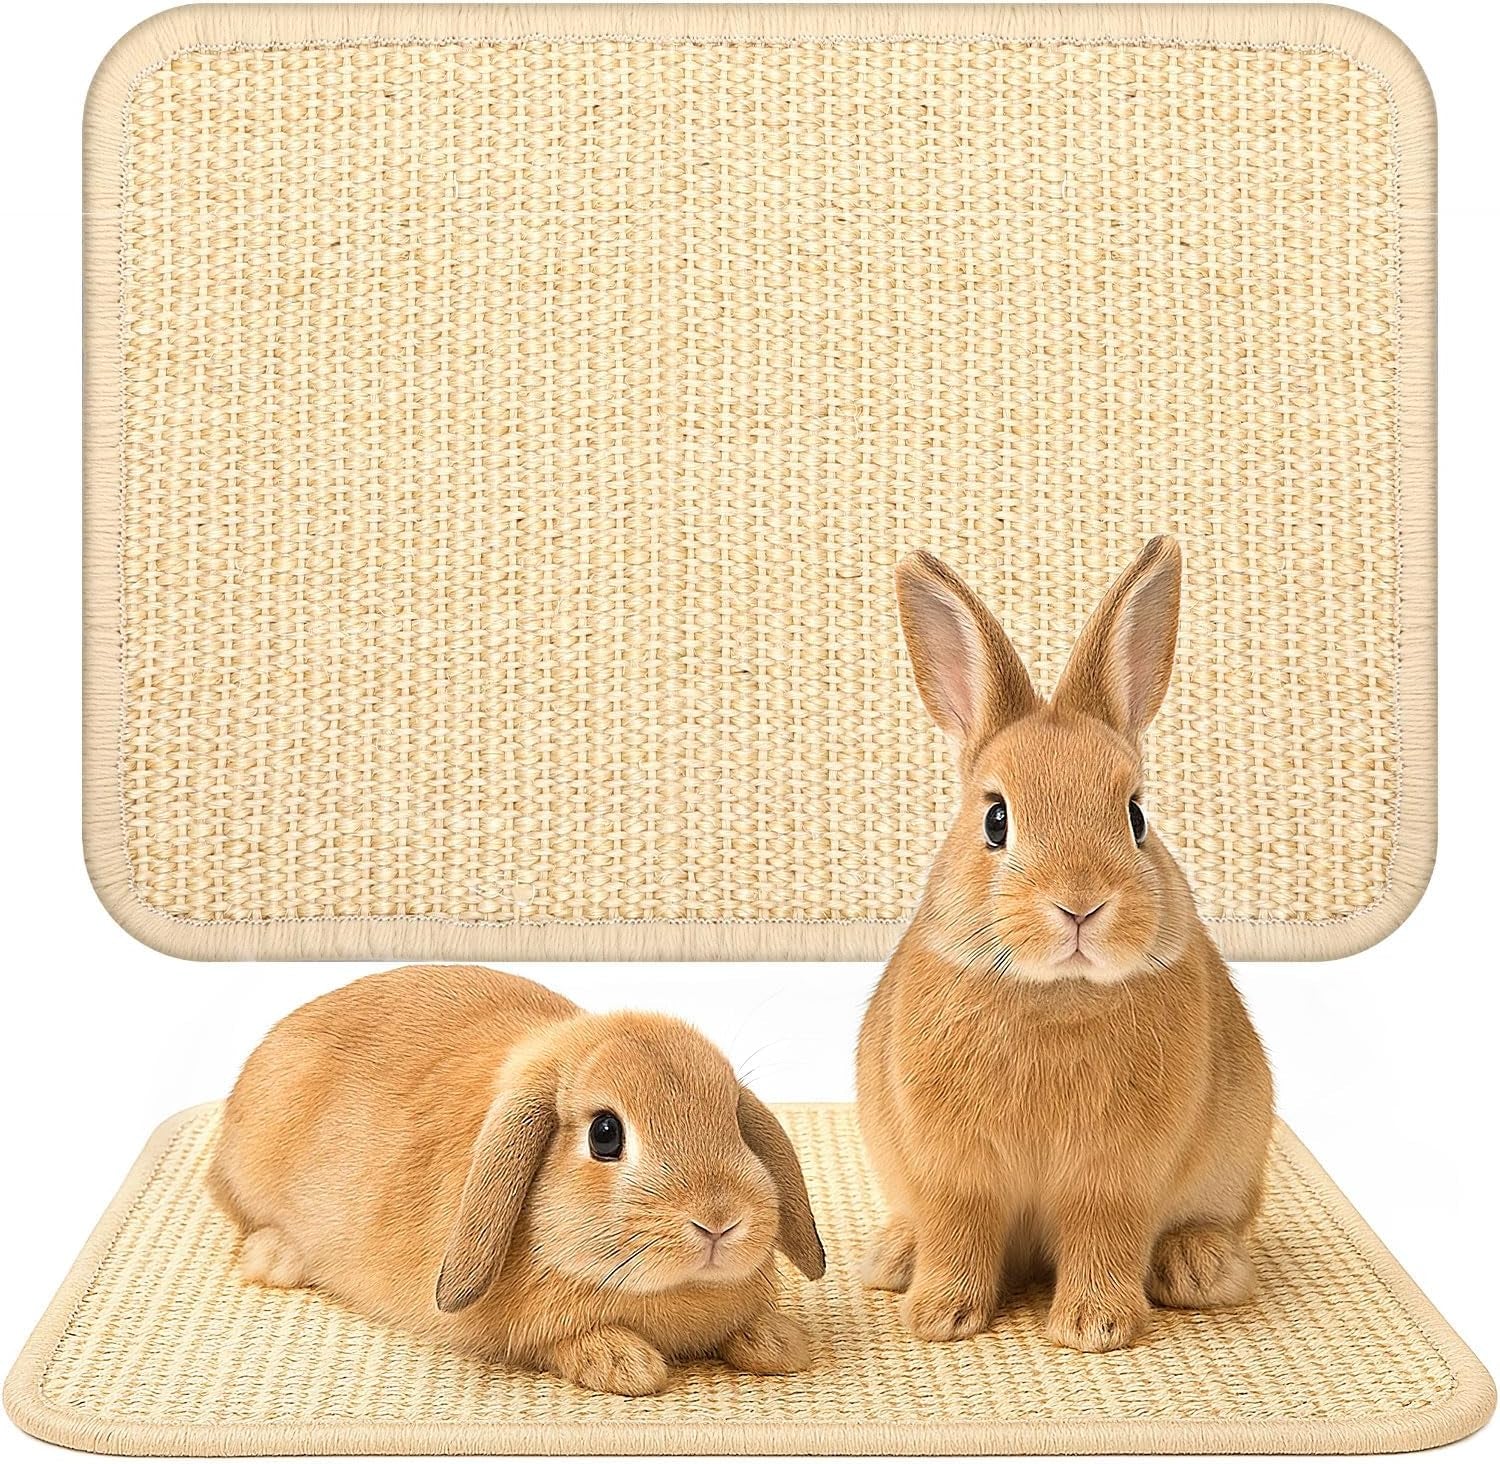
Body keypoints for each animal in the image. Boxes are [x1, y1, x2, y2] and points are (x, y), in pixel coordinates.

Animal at [209, 964, 826, 1395]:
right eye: (606, 1134)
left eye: (734, 1122)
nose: (719, 1221)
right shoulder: (535, 1335)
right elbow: (569, 1344)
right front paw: (627, 1364)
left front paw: (780, 1343)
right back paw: (275, 1257)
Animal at [857, 537, 1273, 1353]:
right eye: (995, 819)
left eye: (1136, 815)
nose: (1080, 904)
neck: (1055, 995)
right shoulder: (954, 1171)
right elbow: (959, 1230)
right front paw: (939, 1319)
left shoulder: (1116, 1175)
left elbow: (1102, 1234)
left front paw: (1093, 1328)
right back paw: (895, 1258)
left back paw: (1198, 1266)